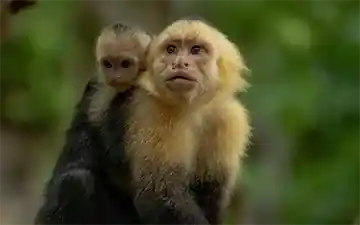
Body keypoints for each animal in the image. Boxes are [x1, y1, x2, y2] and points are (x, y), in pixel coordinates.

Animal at [125, 18, 252, 225]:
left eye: (196, 50)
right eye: (171, 50)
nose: (179, 63)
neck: (197, 109)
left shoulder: (231, 118)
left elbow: (211, 194)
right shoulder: (158, 110)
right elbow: (158, 194)